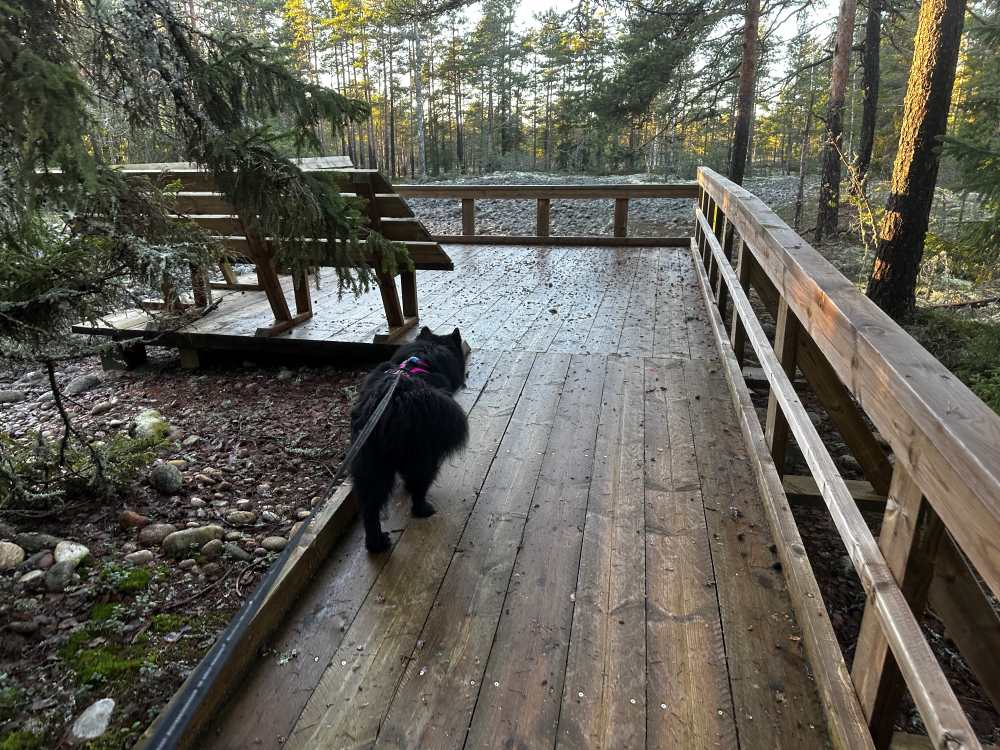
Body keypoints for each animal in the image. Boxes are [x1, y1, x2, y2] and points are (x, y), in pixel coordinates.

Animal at [350, 328, 470, 552]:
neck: (422, 358)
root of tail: (391, 405)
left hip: (370, 467)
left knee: (370, 509)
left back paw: (376, 544)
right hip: (423, 458)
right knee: (420, 487)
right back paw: (424, 510)